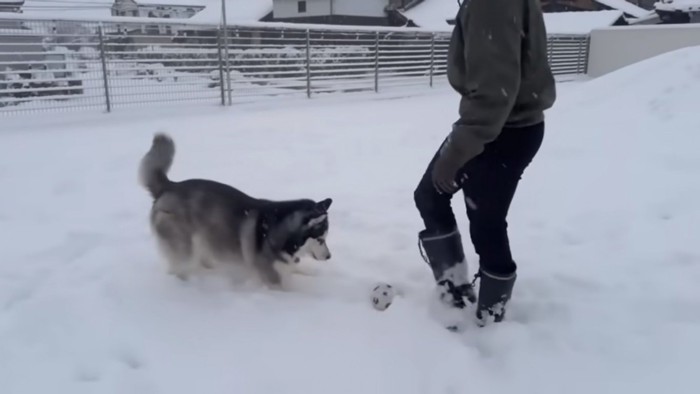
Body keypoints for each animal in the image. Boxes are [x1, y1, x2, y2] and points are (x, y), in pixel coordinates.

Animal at [139, 133, 334, 286]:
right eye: (320, 239)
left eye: (325, 238)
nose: (329, 257)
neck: (282, 234)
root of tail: (170, 186)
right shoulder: (271, 278)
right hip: (183, 243)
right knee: (180, 267)